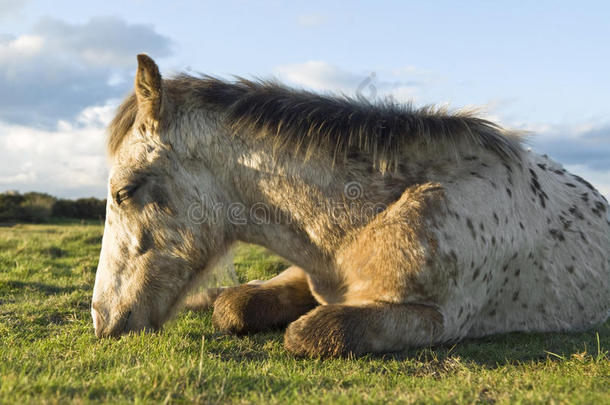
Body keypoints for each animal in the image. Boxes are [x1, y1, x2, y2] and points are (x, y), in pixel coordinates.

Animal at [90, 54, 608, 356]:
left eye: (124, 192)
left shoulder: (435, 318)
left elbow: (308, 334)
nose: (103, 319)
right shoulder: (307, 272)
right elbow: (234, 306)